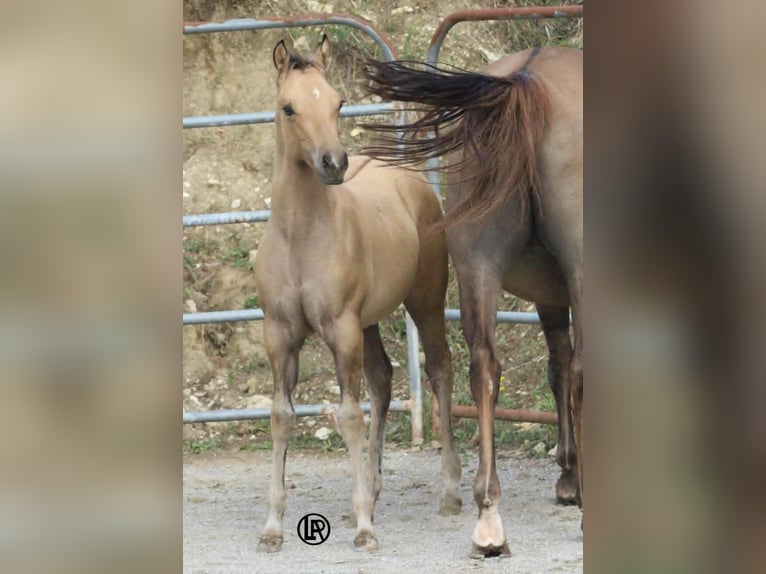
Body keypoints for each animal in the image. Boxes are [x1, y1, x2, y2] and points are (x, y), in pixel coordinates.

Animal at [253, 36, 462, 552]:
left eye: (338, 102)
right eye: (289, 107)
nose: (334, 163)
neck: (300, 237)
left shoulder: (341, 329)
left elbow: (349, 416)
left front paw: (365, 527)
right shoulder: (279, 335)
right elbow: (282, 415)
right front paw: (273, 527)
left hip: (425, 302)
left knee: (439, 370)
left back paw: (450, 491)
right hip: (367, 323)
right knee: (383, 380)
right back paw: (373, 486)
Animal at [362, 46, 583, 557]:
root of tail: (525, 83)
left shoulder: (549, 294)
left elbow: (557, 364)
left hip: (477, 266)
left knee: (484, 368)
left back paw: (488, 518)